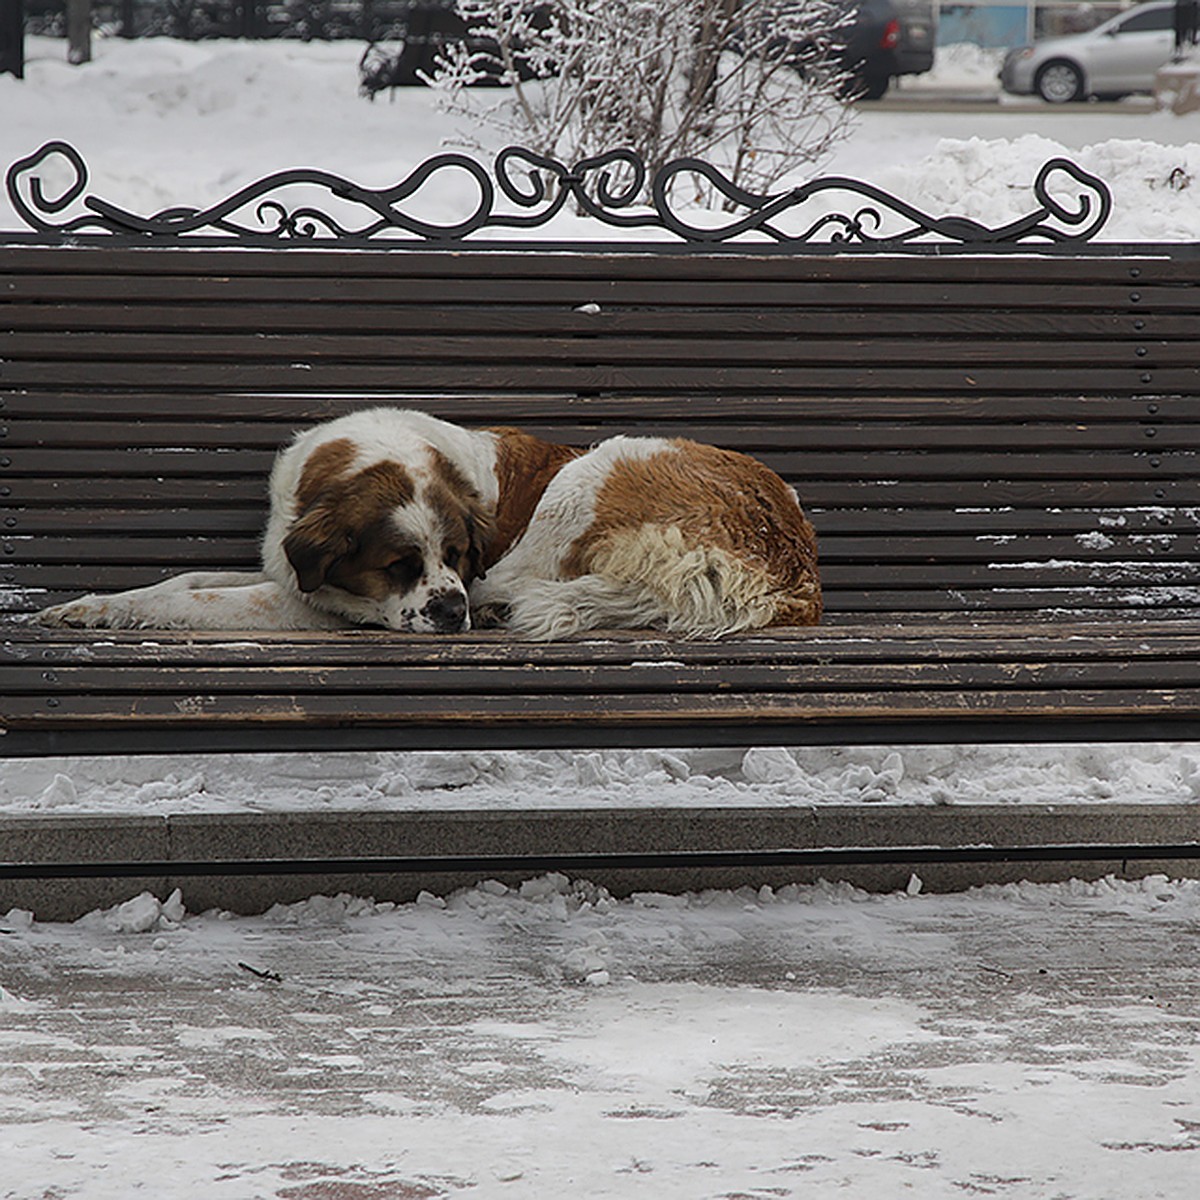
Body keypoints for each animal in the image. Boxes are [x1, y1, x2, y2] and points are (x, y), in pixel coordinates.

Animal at [39, 410, 825, 643]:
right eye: (398, 564)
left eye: (456, 553)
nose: (451, 610)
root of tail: (793, 568)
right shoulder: (286, 569)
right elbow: (186, 578)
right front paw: (92, 605)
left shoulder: (317, 602)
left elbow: (194, 597)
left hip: (594, 468)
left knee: (517, 582)